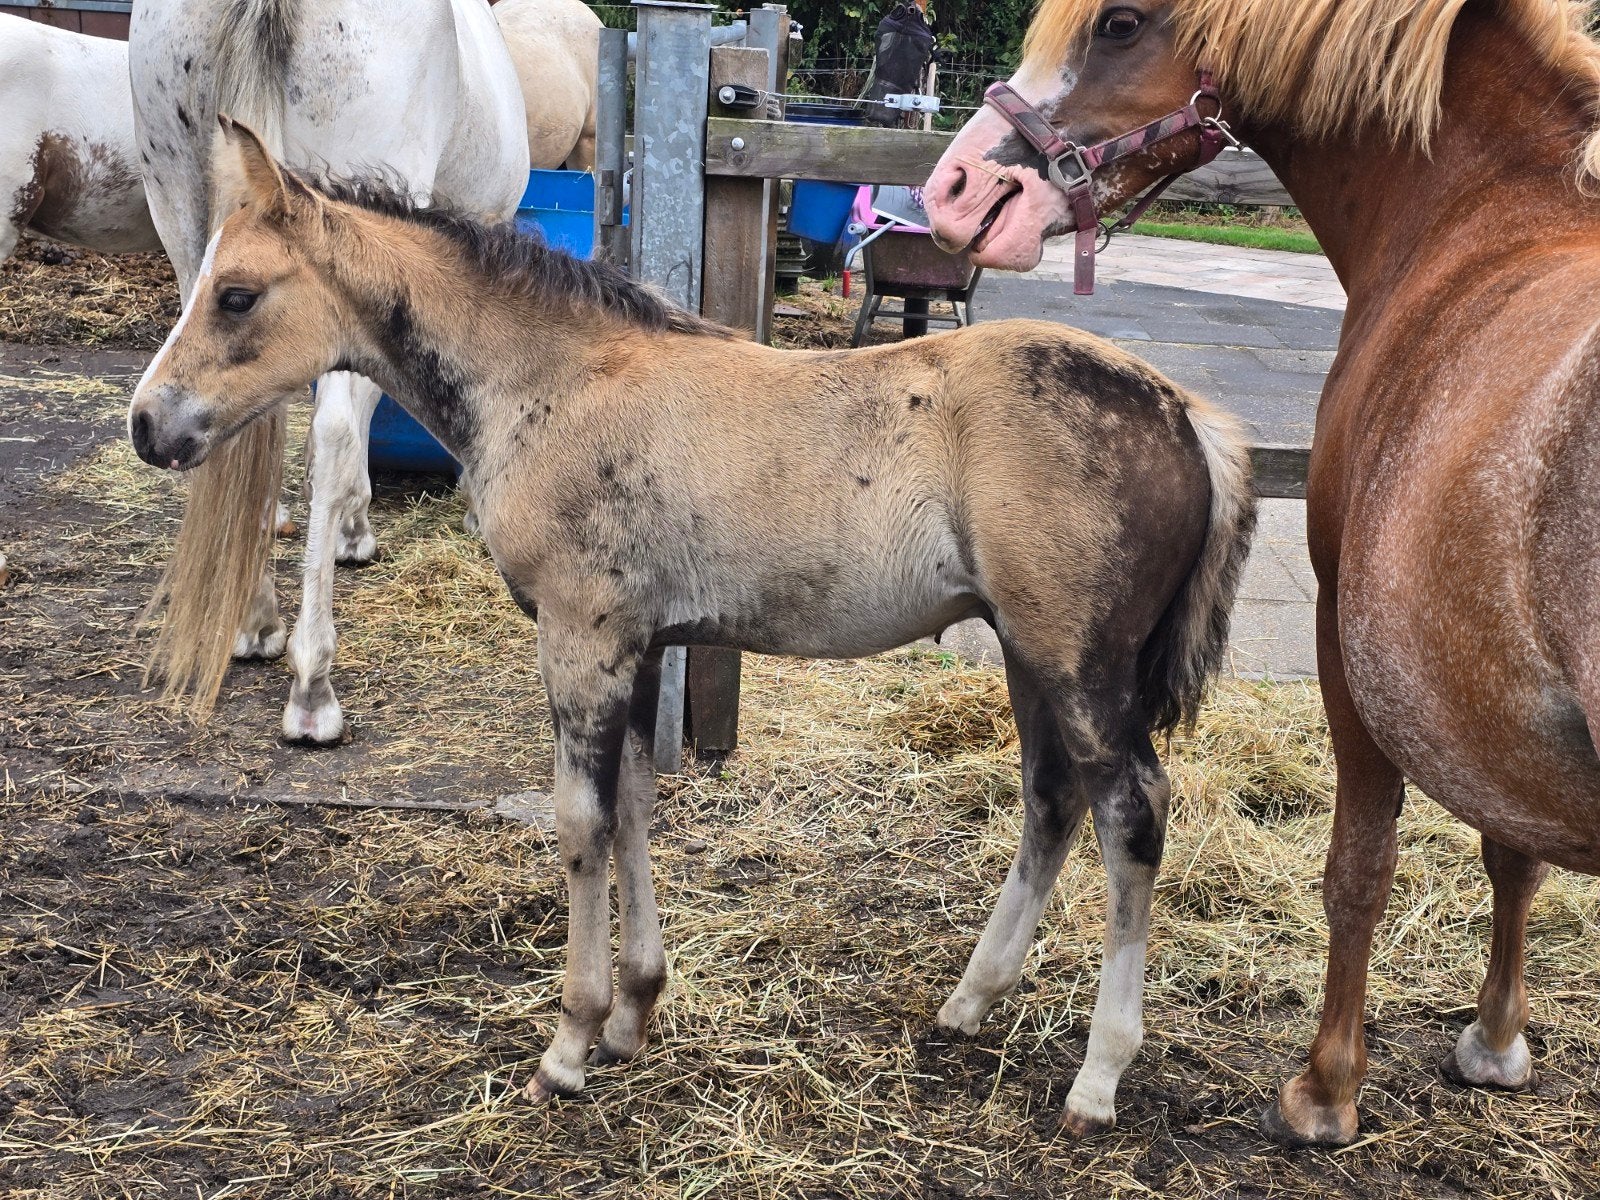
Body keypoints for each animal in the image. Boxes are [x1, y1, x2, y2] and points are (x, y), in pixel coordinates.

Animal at [125, 120, 1258, 1131]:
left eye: (237, 294)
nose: (146, 424)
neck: (556, 383)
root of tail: (1181, 411)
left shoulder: (581, 639)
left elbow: (580, 825)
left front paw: (570, 1044)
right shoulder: (638, 645)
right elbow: (632, 808)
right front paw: (633, 1015)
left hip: (1079, 661)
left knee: (1131, 813)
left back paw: (1098, 1079)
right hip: (1028, 654)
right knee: (1052, 801)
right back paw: (967, 1004)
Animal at [922, 0, 1600, 1147]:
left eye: (1118, 24)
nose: (955, 191)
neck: (1488, 216)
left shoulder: (1355, 645)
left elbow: (1358, 864)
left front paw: (1324, 1091)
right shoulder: (1482, 680)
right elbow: (1512, 850)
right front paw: (1496, 1040)